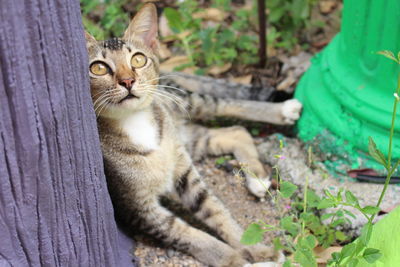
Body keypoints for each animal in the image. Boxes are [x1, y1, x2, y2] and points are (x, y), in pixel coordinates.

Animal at [85, 2, 290, 267]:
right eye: (98, 67)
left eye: (138, 59)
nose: (128, 80)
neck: (136, 122)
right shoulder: (137, 208)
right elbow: (191, 235)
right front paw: (241, 260)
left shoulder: (186, 174)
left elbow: (217, 211)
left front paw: (255, 248)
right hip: (186, 138)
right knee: (236, 131)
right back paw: (257, 176)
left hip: (183, 105)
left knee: (226, 108)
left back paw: (283, 112)